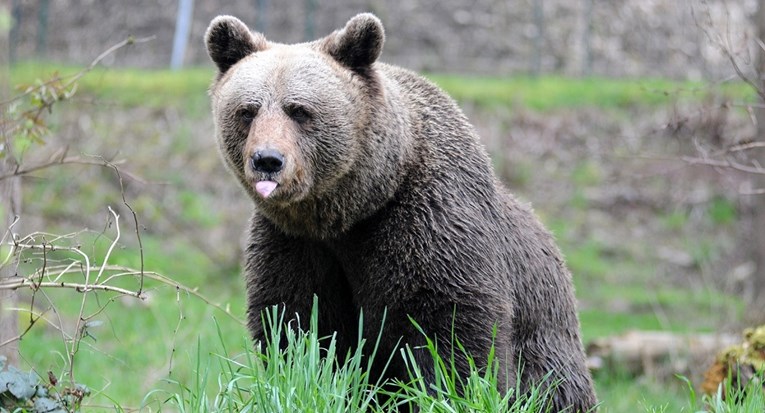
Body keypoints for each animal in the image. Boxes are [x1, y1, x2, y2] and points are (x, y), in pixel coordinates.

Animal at [204, 12, 596, 408]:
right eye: (247, 111)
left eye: (299, 110)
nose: (267, 160)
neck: (353, 209)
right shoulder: (294, 244)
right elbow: (299, 325)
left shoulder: (429, 223)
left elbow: (449, 329)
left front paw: (445, 393)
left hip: (546, 340)